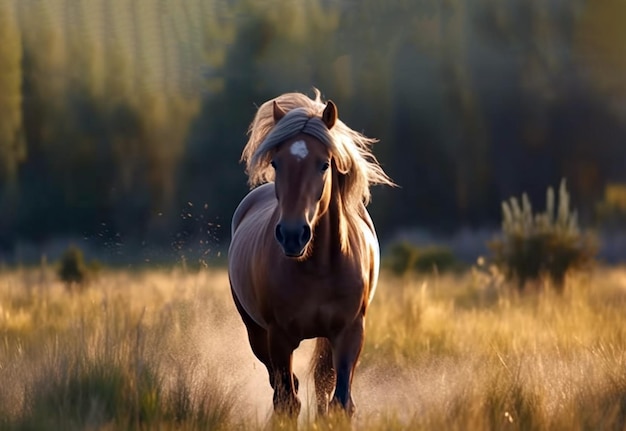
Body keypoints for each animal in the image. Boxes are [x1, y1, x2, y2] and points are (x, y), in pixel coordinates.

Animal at [227, 88, 390, 418]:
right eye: (276, 163)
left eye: (324, 164)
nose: (292, 235)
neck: (318, 267)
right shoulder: (278, 337)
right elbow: (287, 401)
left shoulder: (349, 332)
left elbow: (340, 400)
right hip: (255, 332)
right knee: (283, 385)